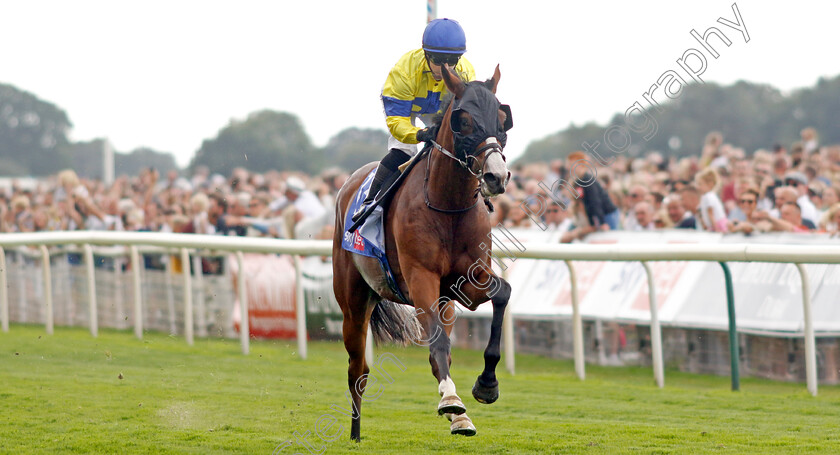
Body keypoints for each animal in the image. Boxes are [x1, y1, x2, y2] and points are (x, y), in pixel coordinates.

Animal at [334, 65, 512, 442]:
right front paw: (451, 401)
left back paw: (460, 417)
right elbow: (438, 343)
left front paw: (486, 385)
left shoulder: (468, 280)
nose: (496, 176)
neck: (448, 206)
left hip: (446, 303)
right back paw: (355, 433)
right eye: (465, 121)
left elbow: (503, 293)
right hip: (353, 302)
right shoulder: (421, 279)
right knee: (358, 368)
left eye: (502, 120)